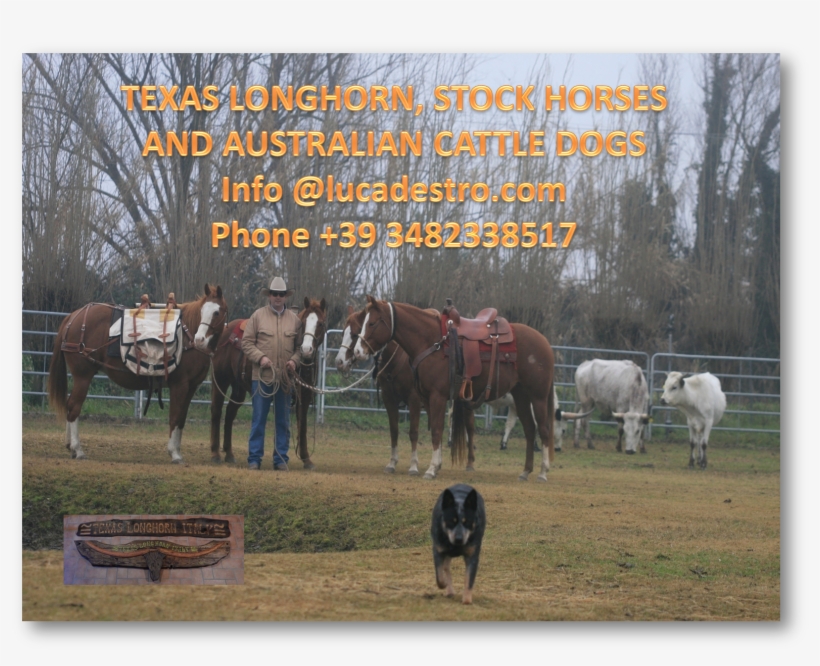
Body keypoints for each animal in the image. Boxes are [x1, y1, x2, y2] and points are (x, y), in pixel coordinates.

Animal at [47, 284, 229, 463]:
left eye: (216, 312)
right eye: (202, 311)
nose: (199, 340)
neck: (186, 336)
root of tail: (74, 317)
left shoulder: (191, 387)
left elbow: (182, 419)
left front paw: (177, 451)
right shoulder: (180, 385)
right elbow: (175, 417)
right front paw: (174, 453)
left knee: (70, 405)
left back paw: (70, 446)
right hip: (83, 376)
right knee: (74, 407)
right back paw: (77, 449)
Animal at [208, 297, 326, 470]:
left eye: (321, 323)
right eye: (303, 323)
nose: (305, 349)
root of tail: (225, 330)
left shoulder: (304, 396)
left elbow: (302, 425)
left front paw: (306, 459)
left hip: (238, 389)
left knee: (230, 413)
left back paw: (229, 453)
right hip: (221, 380)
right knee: (216, 411)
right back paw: (215, 453)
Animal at [353, 297, 556, 482]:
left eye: (372, 323)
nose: (357, 352)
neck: (432, 342)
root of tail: (545, 342)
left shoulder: (437, 396)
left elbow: (436, 430)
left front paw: (431, 469)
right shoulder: (425, 398)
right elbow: (434, 430)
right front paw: (435, 466)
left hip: (538, 397)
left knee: (544, 430)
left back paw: (543, 472)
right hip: (521, 396)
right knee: (529, 429)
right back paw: (525, 471)